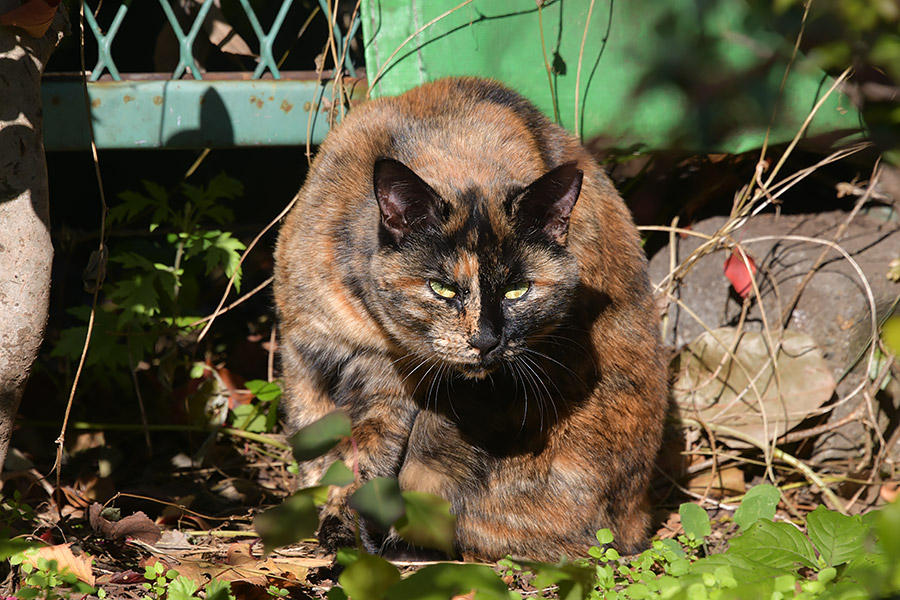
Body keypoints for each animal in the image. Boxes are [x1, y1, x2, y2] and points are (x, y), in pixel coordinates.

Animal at [274, 77, 668, 560]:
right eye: (441, 288)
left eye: (518, 289)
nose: (485, 340)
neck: (367, 320)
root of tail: (637, 520)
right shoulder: (303, 347)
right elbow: (311, 438)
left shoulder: (395, 385)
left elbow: (366, 459)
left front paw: (345, 528)